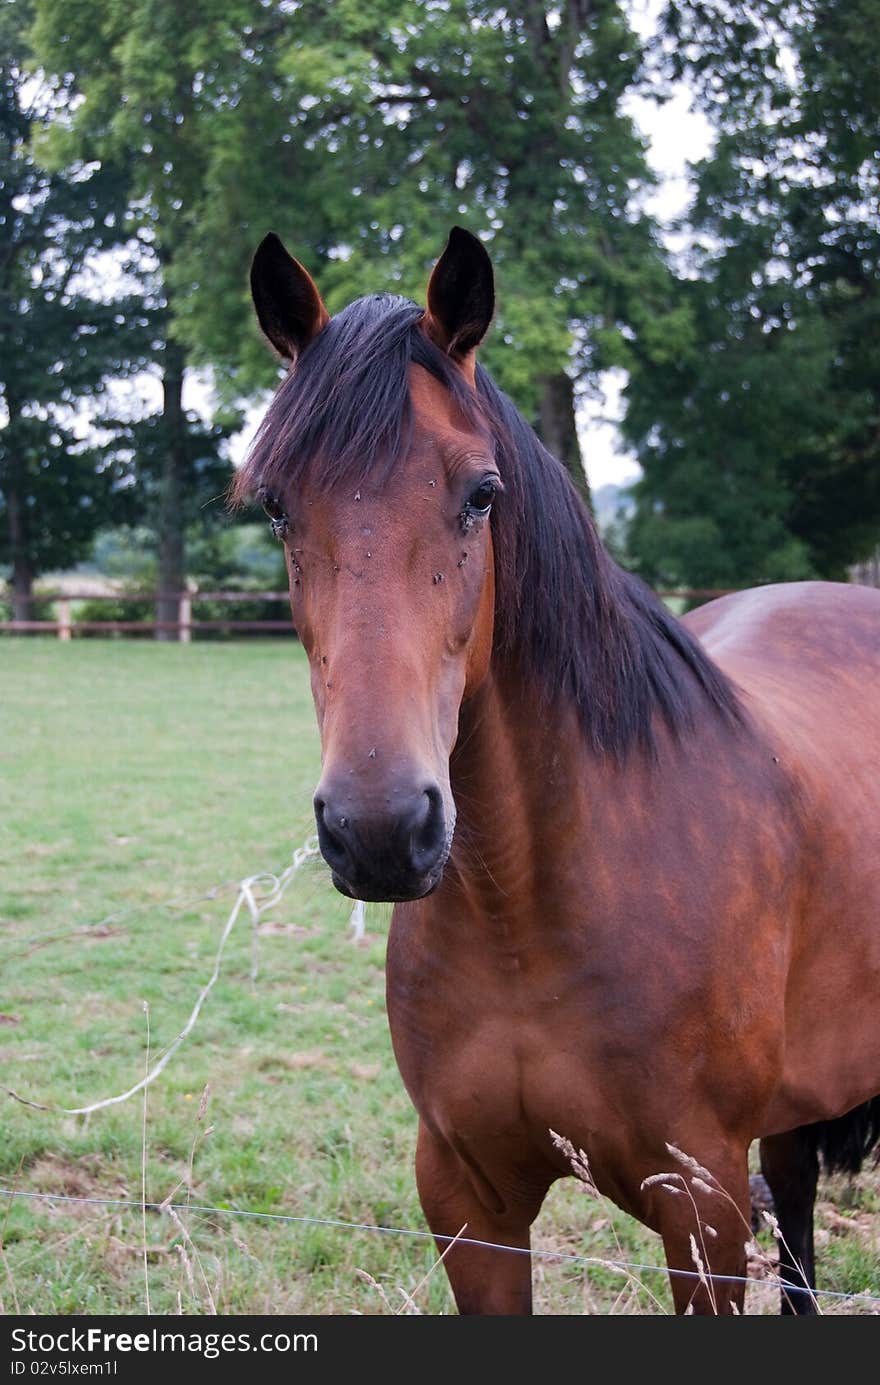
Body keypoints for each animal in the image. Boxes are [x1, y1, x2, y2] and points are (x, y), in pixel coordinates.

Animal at [234, 224, 880, 1307]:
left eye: (480, 494)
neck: (527, 907)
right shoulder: (468, 1201)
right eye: (278, 508)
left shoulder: (701, 1208)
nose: (380, 828)